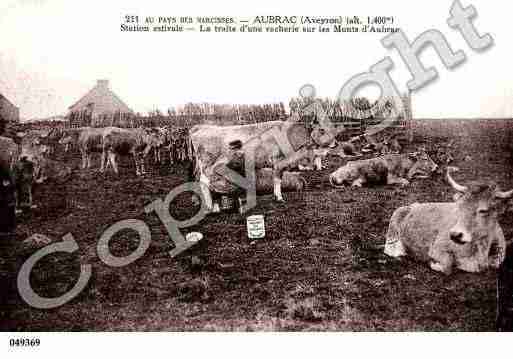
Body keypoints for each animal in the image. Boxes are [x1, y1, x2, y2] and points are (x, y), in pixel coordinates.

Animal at [384, 167, 512, 274]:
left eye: (483, 210)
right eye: (460, 205)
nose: (455, 234)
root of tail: (411, 206)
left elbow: (495, 262)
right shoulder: (436, 248)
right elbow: (447, 265)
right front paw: (432, 263)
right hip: (393, 232)